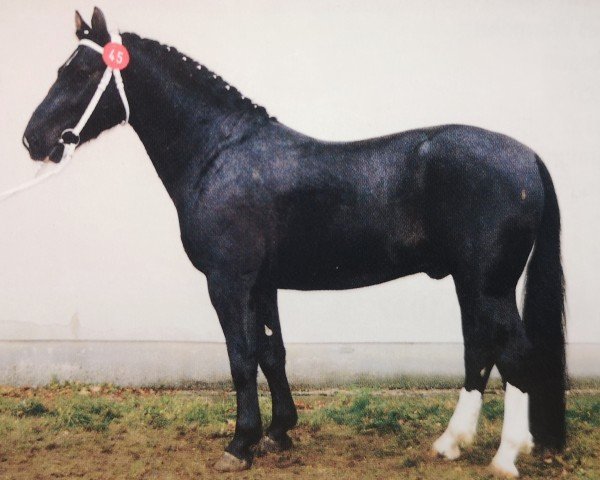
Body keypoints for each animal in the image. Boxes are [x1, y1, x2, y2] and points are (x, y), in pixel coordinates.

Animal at [23, 8, 564, 476]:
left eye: (82, 71)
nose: (32, 140)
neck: (219, 152)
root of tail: (528, 156)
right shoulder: (262, 284)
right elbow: (272, 352)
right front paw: (278, 433)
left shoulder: (229, 282)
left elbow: (241, 357)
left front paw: (240, 444)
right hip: (470, 282)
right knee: (480, 351)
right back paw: (451, 444)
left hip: (489, 286)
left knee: (515, 354)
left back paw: (506, 457)